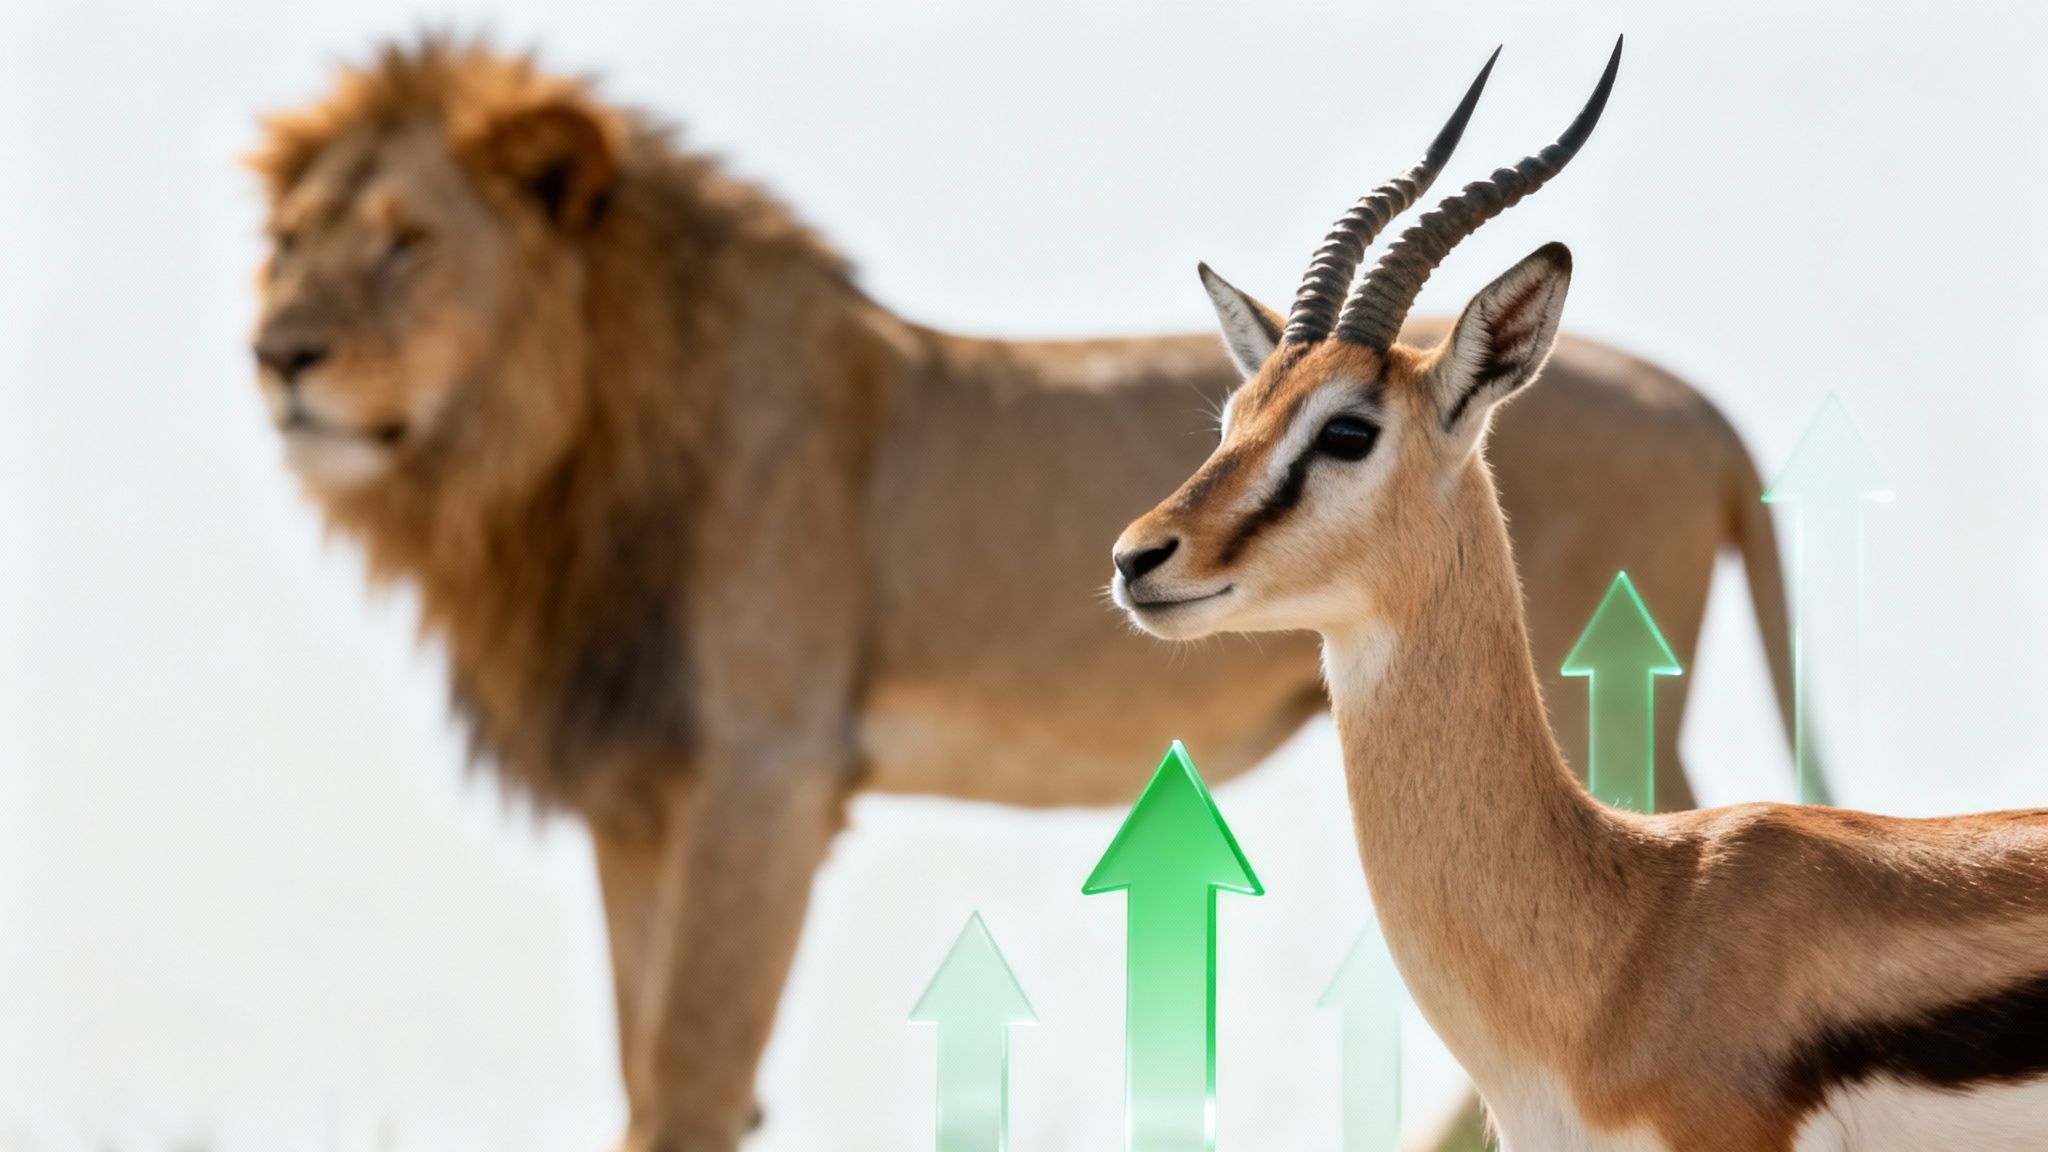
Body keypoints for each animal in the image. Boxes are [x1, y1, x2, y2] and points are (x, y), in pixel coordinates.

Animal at [247, 38, 1805, 1152]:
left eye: (408, 233)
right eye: (293, 230)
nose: (284, 356)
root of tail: (1707, 416)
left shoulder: (765, 787)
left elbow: (687, 1090)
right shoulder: (640, 811)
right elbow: (654, 1081)